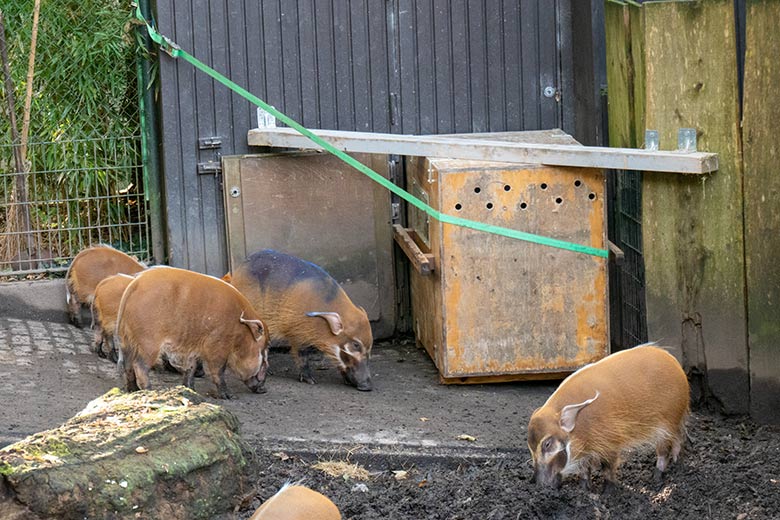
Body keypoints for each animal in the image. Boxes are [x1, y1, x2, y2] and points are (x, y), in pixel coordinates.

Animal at [114, 266, 270, 400]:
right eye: (262, 351)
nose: (264, 389)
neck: (239, 332)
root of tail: (134, 284)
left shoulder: (192, 348)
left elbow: (191, 368)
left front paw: (190, 390)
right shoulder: (217, 345)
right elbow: (218, 370)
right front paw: (229, 396)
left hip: (126, 340)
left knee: (127, 366)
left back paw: (132, 390)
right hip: (148, 342)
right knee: (139, 365)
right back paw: (149, 391)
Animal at [227, 250, 374, 392]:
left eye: (369, 346)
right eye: (356, 345)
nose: (367, 386)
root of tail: (238, 271)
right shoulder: (298, 335)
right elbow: (302, 355)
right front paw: (310, 380)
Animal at [532, 344, 688, 490]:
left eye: (547, 444)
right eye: (530, 447)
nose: (538, 485)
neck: (580, 425)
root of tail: (676, 364)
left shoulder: (610, 441)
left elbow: (607, 467)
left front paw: (607, 492)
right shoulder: (586, 449)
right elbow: (584, 469)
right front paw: (585, 490)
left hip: (668, 422)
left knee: (664, 451)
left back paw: (657, 478)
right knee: (678, 437)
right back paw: (677, 463)